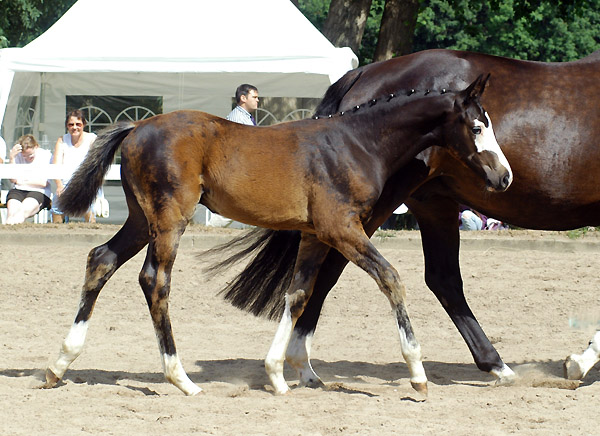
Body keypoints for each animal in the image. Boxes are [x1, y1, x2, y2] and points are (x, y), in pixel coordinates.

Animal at [42, 75, 510, 396]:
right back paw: (181, 378)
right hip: (170, 219)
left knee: (101, 259)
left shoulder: (316, 235)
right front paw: (417, 374)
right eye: (476, 127)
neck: (357, 143)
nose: (504, 177)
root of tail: (137, 126)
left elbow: (298, 295)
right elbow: (391, 279)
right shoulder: (342, 228)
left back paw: (59, 364)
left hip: (142, 219)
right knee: (154, 281)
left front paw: (277, 375)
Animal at [210, 49, 600, 390]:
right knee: (335, 271)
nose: (505, 177)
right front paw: (580, 362)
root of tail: (361, 74)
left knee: (441, 280)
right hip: (371, 212)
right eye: (476, 128)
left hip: (432, 206)